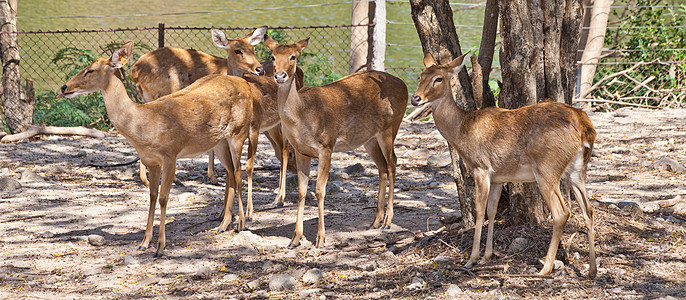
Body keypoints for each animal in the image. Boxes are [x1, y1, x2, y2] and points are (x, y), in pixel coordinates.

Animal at [59, 41, 262, 258]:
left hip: (238, 132)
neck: (143, 126)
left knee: (240, 171)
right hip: (218, 141)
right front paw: (144, 242)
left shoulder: (170, 153)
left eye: (90, 70)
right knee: (231, 171)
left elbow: (164, 198)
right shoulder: (151, 160)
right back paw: (223, 224)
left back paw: (241, 223)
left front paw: (160, 246)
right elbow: (152, 196)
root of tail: (245, 84)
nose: (64, 86)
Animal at [266, 37, 408, 248]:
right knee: (382, 167)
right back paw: (375, 221)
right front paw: (295, 239)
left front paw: (320, 239)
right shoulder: (301, 151)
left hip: (390, 127)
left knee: (393, 163)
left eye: (293, 56)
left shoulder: (326, 146)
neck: (302, 115)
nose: (280, 76)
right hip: (369, 139)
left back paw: (388, 221)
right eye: (273, 56)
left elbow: (320, 190)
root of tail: (405, 85)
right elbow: (301, 192)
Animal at [412, 51, 600, 276]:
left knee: (562, 212)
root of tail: (584, 126)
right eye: (420, 76)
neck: (461, 130)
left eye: (438, 79)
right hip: (577, 169)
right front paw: (487, 256)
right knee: (588, 210)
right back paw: (591, 270)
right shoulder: (498, 177)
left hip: (547, 168)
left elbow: (479, 211)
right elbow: (492, 210)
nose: (415, 98)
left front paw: (472, 259)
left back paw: (545, 268)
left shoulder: (481, 168)